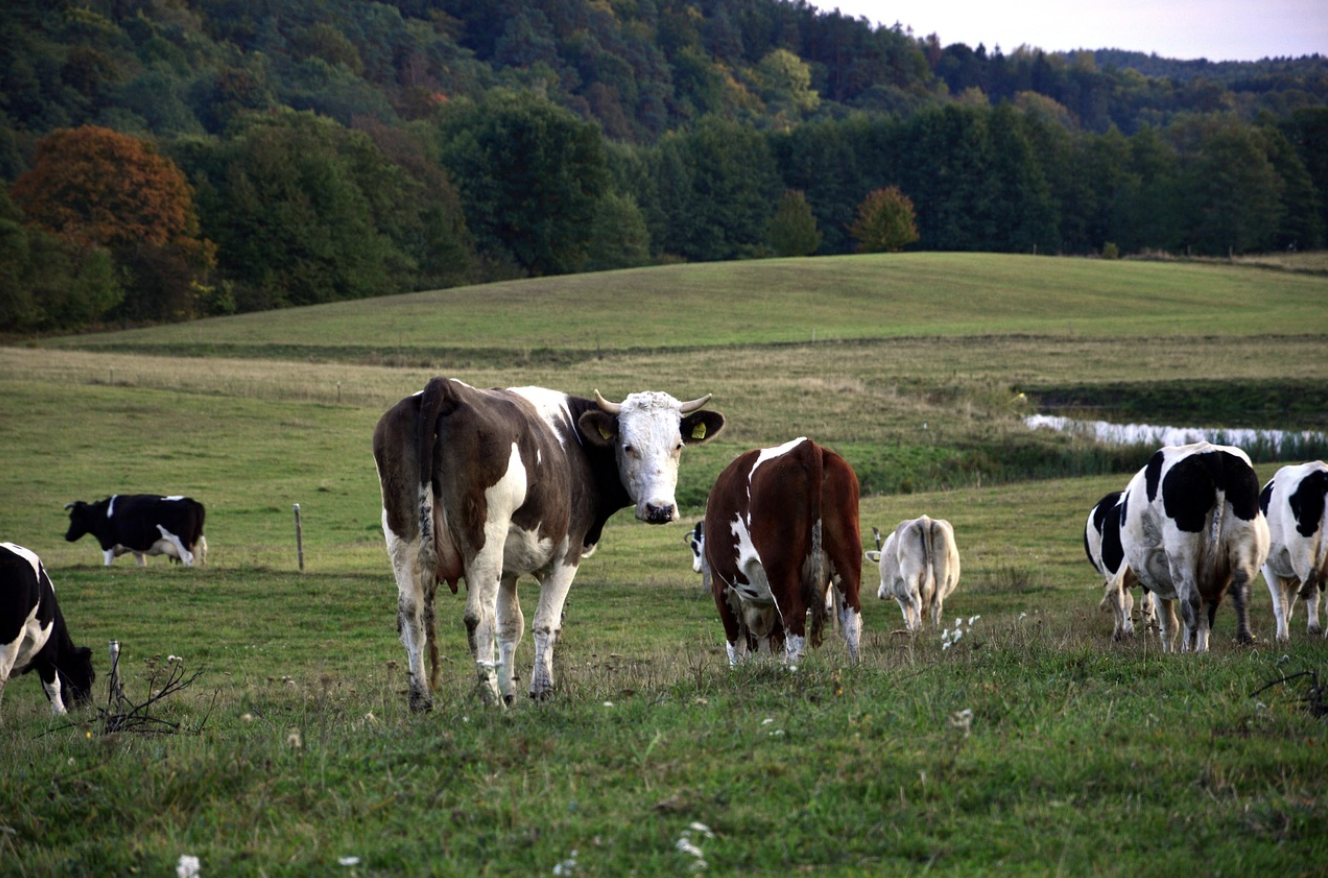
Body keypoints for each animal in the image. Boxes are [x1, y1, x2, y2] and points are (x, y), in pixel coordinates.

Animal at [65, 495, 207, 567]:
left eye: (73, 517)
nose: (67, 536)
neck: (101, 512)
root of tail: (190, 501)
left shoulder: (107, 543)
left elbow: (107, 563)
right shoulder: (136, 549)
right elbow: (141, 563)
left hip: (181, 542)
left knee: (187, 558)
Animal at [373, 379, 724, 709]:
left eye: (678, 445)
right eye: (628, 447)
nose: (659, 509)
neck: (576, 444)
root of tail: (443, 387)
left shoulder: (508, 568)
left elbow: (510, 626)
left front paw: (511, 693)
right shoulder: (567, 553)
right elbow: (546, 623)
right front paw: (540, 691)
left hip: (402, 533)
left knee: (411, 614)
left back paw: (421, 699)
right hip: (485, 538)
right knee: (478, 617)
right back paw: (490, 700)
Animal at [702, 437, 862, 668]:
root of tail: (806, 447)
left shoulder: (722, 587)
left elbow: (735, 644)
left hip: (780, 567)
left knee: (794, 621)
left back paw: (793, 669)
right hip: (846, 555)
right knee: (851, 619)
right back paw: (854, 666)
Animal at [1113, 442, 1270, 652]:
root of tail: (1211, 454)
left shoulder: (1160, 578)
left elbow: (1168, 623)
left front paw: (1171, 652)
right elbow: (1206, 619)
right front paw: (1202, 651)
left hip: (1181, 552)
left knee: (1191, 601)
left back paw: (1186, 649)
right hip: (1245, 538)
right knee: (1240, 586)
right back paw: (1242, 637)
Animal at [1259, 461, 1328, 641]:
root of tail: (1320, 472)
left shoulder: (1268, 567)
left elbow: (1280, 604)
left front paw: (1281, 637)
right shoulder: (1293, 577)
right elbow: (1288, 605)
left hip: (1303, 555)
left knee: (1313, 593)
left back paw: (1313, 628)